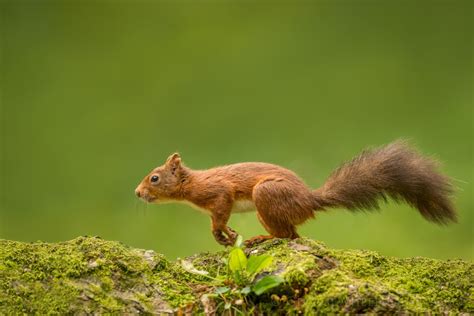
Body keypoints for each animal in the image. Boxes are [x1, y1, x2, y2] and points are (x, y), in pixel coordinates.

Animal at [134, 141, 456, 247]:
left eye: (154, 178)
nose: (137, 193)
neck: (191, 184)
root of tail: (308, 200)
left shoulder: (219, 192)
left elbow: (220, 216)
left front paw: (221, 233)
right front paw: (227, 235)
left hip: (266, 195)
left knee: (287, 235)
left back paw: (260, 239)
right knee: (292, 234)